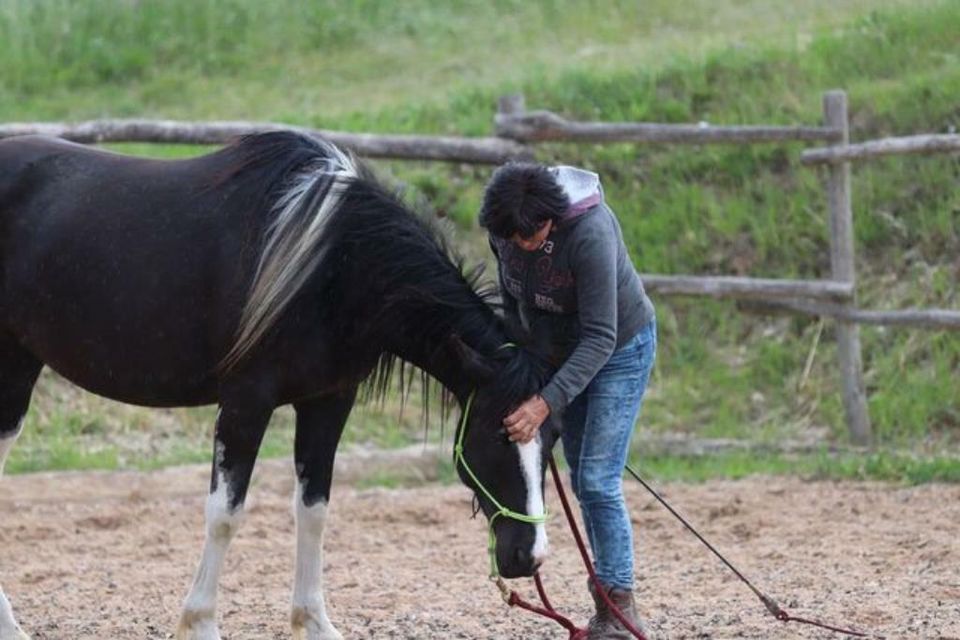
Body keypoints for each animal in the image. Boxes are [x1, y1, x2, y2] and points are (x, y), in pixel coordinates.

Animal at [0, 131, 560, 640]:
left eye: (552, 439)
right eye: (496, 436)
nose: (528, 557)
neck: (330, 266)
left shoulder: (328, 402)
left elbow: (313, 510)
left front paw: (314, 623)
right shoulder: (246, 402)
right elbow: (225, 514)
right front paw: (201, 624)